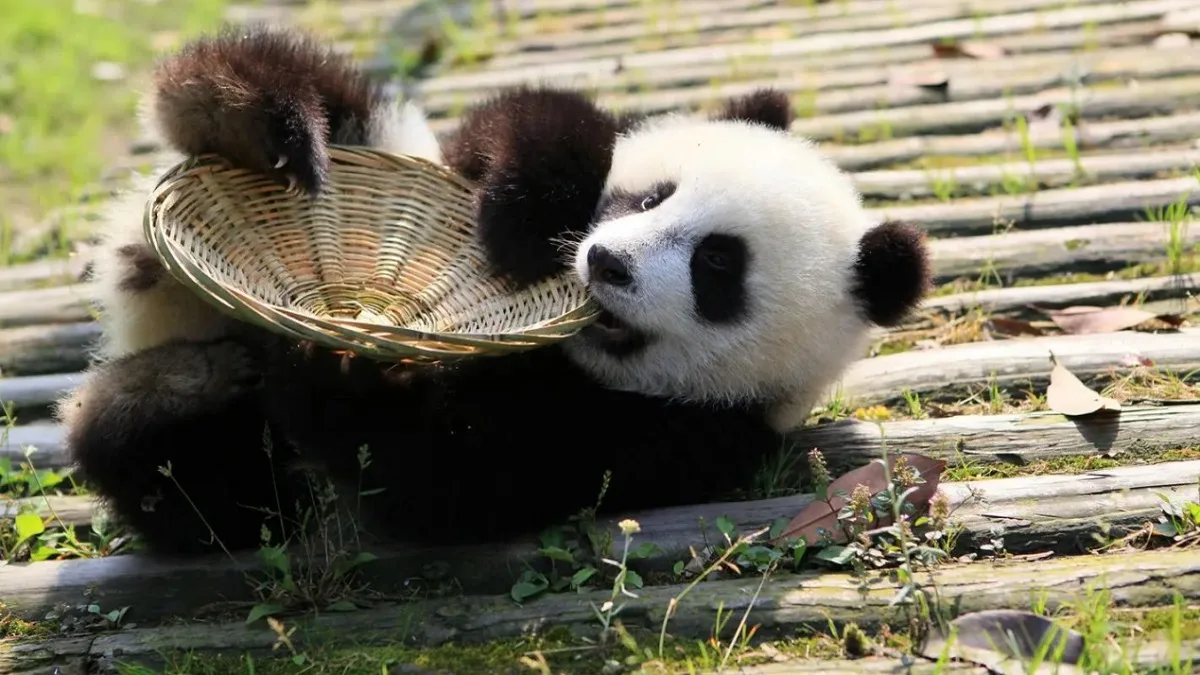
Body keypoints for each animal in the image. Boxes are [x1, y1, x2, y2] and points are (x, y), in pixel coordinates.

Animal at [56, 26, 930, 557]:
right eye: (652, 198)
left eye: (718, 267)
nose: (607, 265)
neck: (571, 358)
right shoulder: (491, 147)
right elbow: (529, 121)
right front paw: (524, 217)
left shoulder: (677, 436)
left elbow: (450, 481)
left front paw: (335, 371)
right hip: (364, 130)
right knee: (327, 97)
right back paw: (259, 120)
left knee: (203, 489)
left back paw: (178, 389)